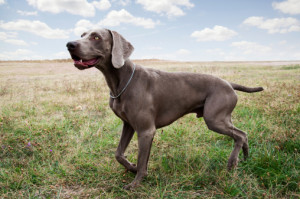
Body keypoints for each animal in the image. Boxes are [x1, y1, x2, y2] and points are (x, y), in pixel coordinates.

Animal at [67, 28, 264, 190]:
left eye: (96, 37)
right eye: (82, 34)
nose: (70, 44)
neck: (121, 81)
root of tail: (229, 84)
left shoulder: (146, 130)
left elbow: (141, 159)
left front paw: (135, 183)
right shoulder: (128, 125)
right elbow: (119, 154)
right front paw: (132, 168)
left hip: (214, 119)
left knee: (240, 135)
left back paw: (232, 163)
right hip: (223, 118)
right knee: (242, 135)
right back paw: (245, 159)